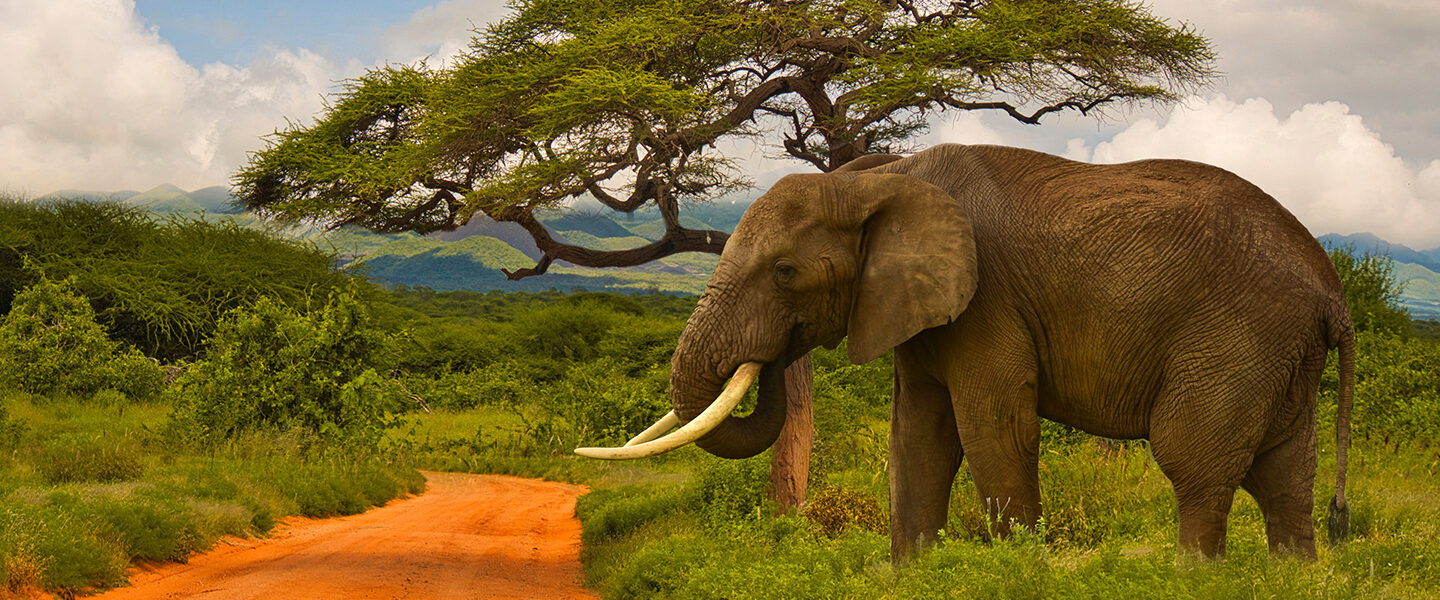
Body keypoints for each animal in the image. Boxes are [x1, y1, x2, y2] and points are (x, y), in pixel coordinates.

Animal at [573, 143, 1347, 561]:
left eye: (785, 272)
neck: (881, 177)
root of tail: (1329, 286)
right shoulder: (917, 307)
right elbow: (918, 440)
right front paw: (915, 574)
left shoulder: (986, 300)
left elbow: (992, 431)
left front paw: (1015, 572)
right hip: (1280, 353)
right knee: (1285, 478)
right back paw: (1286, 576)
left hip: (1237, 335)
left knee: (1196, 465)